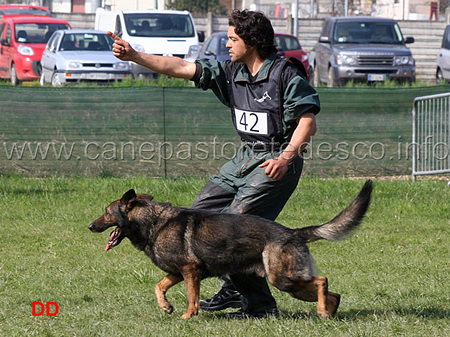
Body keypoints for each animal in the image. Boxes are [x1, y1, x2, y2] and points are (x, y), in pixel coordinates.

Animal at [88, 180, 372, 318]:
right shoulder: (179, 273)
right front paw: (166, 307)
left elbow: (191, 299)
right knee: (333, 293)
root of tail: (293, 232)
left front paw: (187, 317)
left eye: (106, 213)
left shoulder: (190, 271)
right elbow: (158, 286)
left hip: (283, 279)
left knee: (323, 280)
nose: (90, 226)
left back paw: (323, 311)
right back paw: (327, 313)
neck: (152, 222)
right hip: (293, 285)